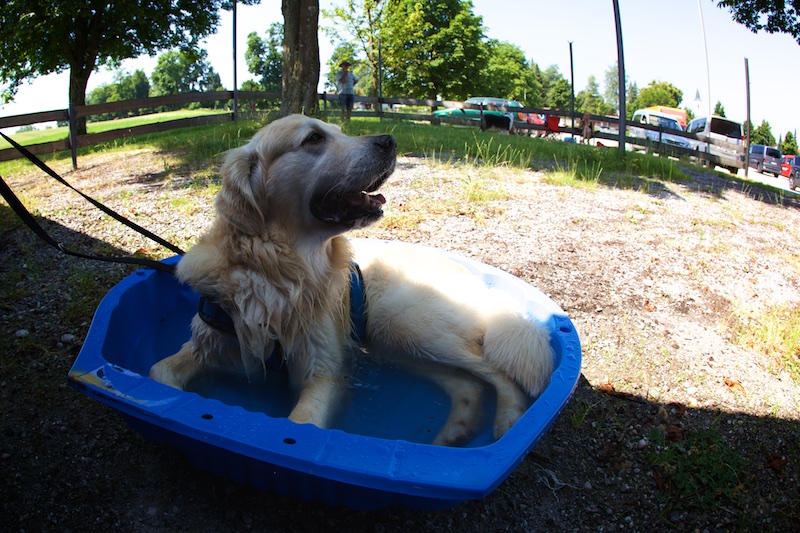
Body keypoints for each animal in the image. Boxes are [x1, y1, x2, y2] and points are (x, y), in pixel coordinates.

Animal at [150, 113, 552, 444]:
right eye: (313, 138)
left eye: (339, 131)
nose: (389, 140)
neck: (281, 271)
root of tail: (481, 283)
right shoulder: (210, 340)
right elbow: (158, 372)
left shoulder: (325, 372)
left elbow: (298, 424)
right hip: (394, 342)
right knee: (468, 383)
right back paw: (455, 431)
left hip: (405, 323)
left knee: (497, 373)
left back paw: (509, 420)